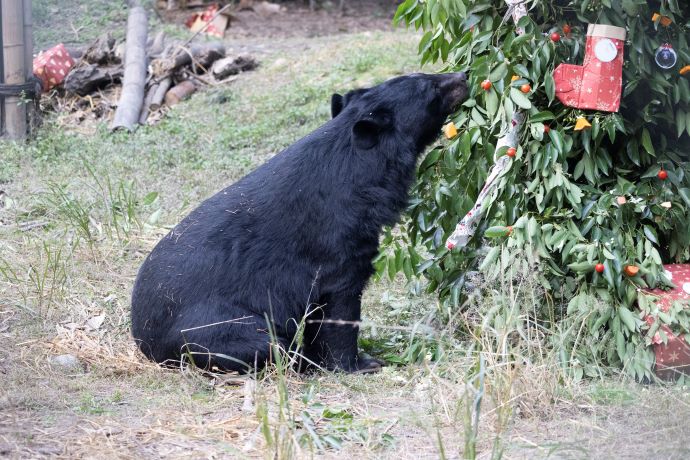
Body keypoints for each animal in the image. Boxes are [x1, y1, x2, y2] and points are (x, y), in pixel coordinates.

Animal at [130, 72, 468, 374]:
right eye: (430, 87)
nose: (463, 75)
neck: (361, 166)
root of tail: (144, 341)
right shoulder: (337, 239)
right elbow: (340, 304)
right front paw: (359, 365)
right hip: (217, 326)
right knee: (267, 345)